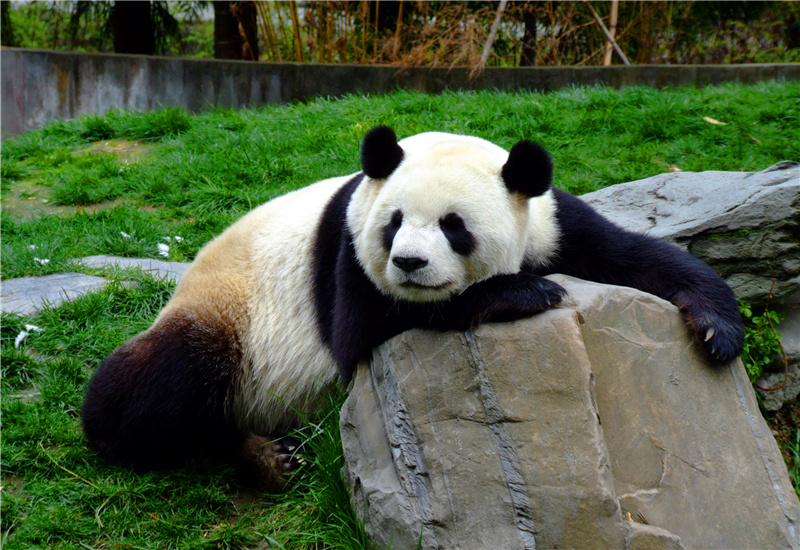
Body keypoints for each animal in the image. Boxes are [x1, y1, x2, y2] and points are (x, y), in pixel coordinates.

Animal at [81, 126, 744, 491]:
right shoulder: (349, 253)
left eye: (454, 226)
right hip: (230, 317)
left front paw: (716, 329)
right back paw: (257, 454)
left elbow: (634, 256)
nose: (408, 263)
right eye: (395, 222)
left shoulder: (550, 220)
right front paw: (524, 293)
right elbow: (366, 331)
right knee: (160, 383)